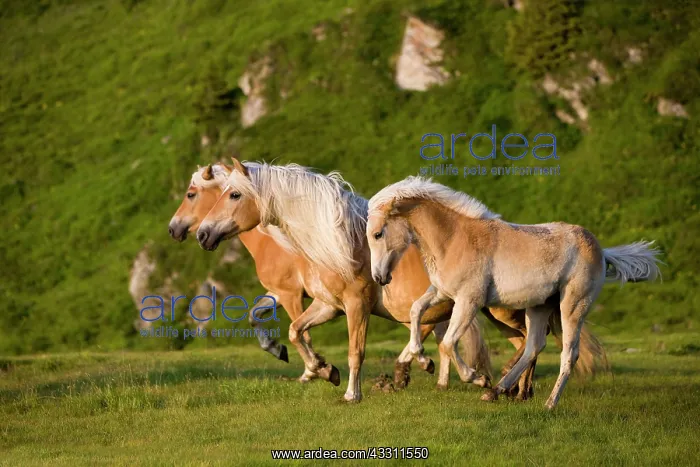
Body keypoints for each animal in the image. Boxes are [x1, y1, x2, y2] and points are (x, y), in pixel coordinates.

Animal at [168, 162, 487, 389]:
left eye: (191, 194)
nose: (183, 231)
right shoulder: (306, 298)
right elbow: (269, 321)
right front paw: (285, 353)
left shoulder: (295, 295)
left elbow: (307, 335)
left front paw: (317, 370)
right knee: (440, 334)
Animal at [366, 176, 662, 409]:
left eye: (378, 234)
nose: (380, 277)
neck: (454, 239)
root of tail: (601, 251)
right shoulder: (443, 293)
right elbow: (416, 311)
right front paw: (424, 361)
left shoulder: (468, 301)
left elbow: (449, 342)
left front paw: (477, 378)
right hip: (540, 307)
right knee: (533, 346)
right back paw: (498, 391)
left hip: (573, 306)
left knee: (568, 354)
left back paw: (547, 403)